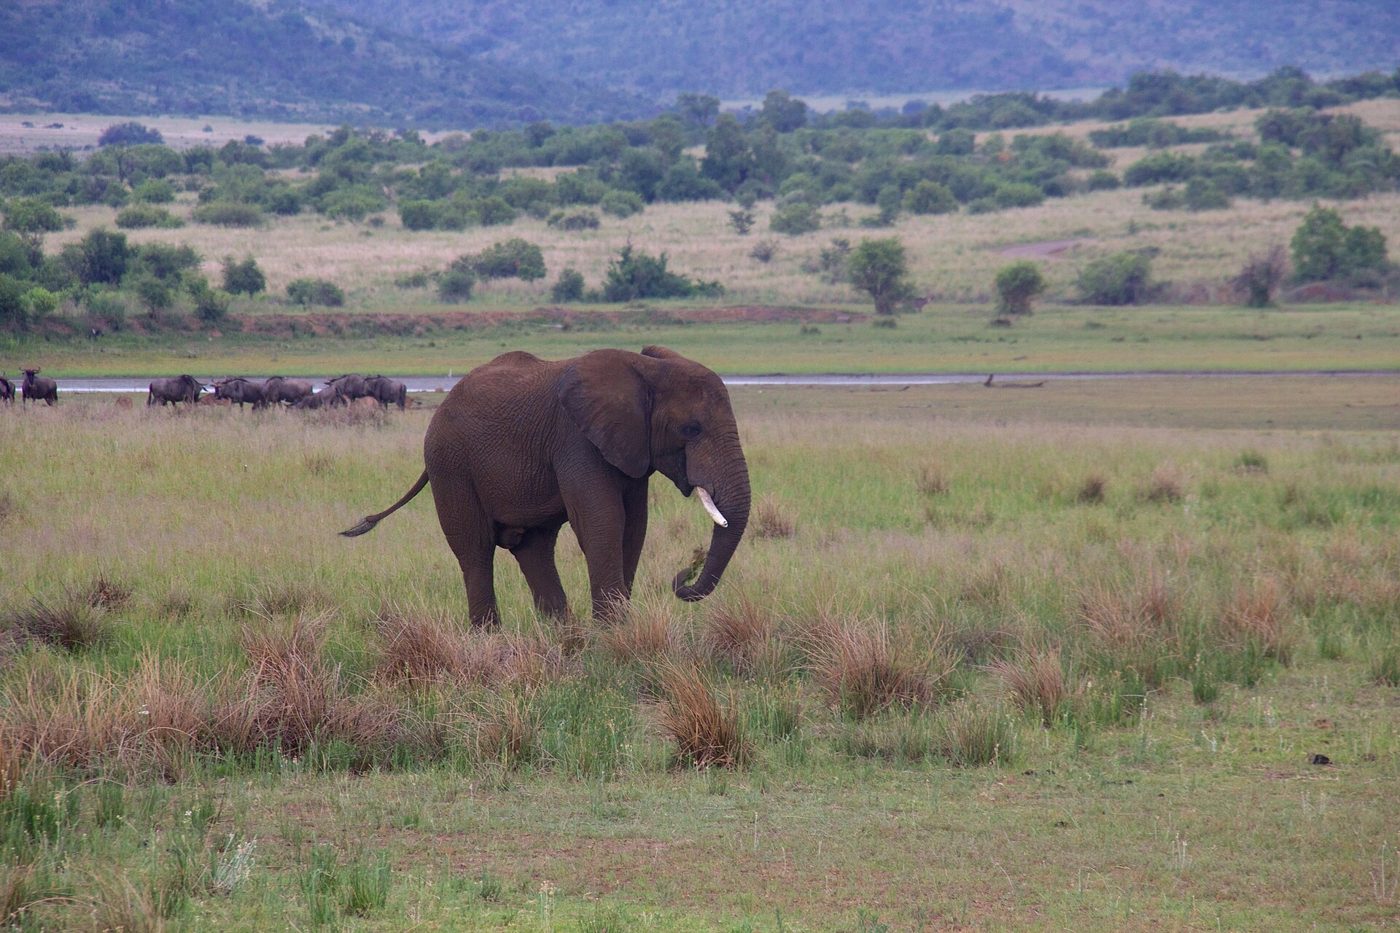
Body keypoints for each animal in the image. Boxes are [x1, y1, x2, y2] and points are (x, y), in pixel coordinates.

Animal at [342, 346, 751, 628]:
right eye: (691, 429)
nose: (684, 573)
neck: (646, 369)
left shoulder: (631, 449)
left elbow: (633, 529)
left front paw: (616, 630)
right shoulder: (576, 441)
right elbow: (603, 524)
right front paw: (613, 635)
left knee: (533, 548)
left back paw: (564, 635)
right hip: (450, 464)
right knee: (474, 550)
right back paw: (490, 639)